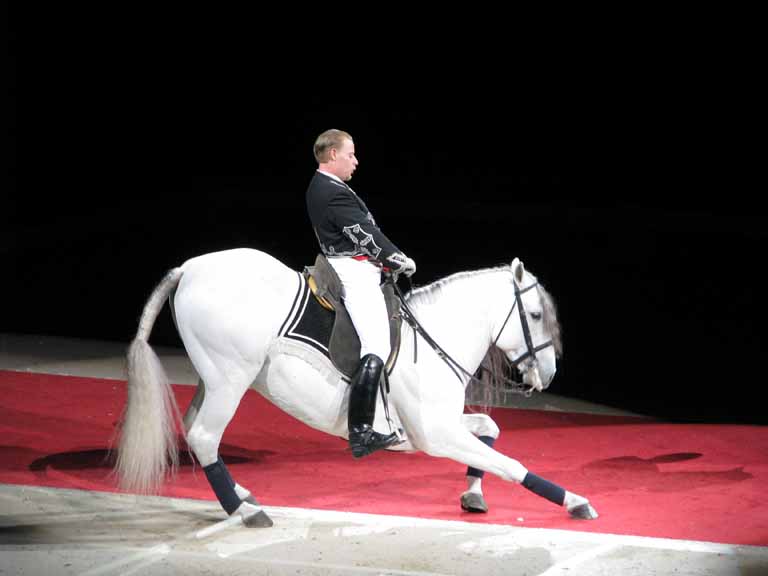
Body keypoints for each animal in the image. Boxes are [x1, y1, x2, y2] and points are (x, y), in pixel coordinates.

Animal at [114, 248, 596, 528]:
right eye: (535, 315)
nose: (549, 374)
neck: (434, 334)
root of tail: (190, 268)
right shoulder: (436, 435)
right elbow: (511, 464)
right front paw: (575, 501)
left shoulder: (442, 424)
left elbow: (490, 433)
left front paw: (473, 494)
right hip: (230, 379)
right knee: (204, 435)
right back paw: (247, 510)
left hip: (212, 378)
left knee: (195, 427)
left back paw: (241, 494)